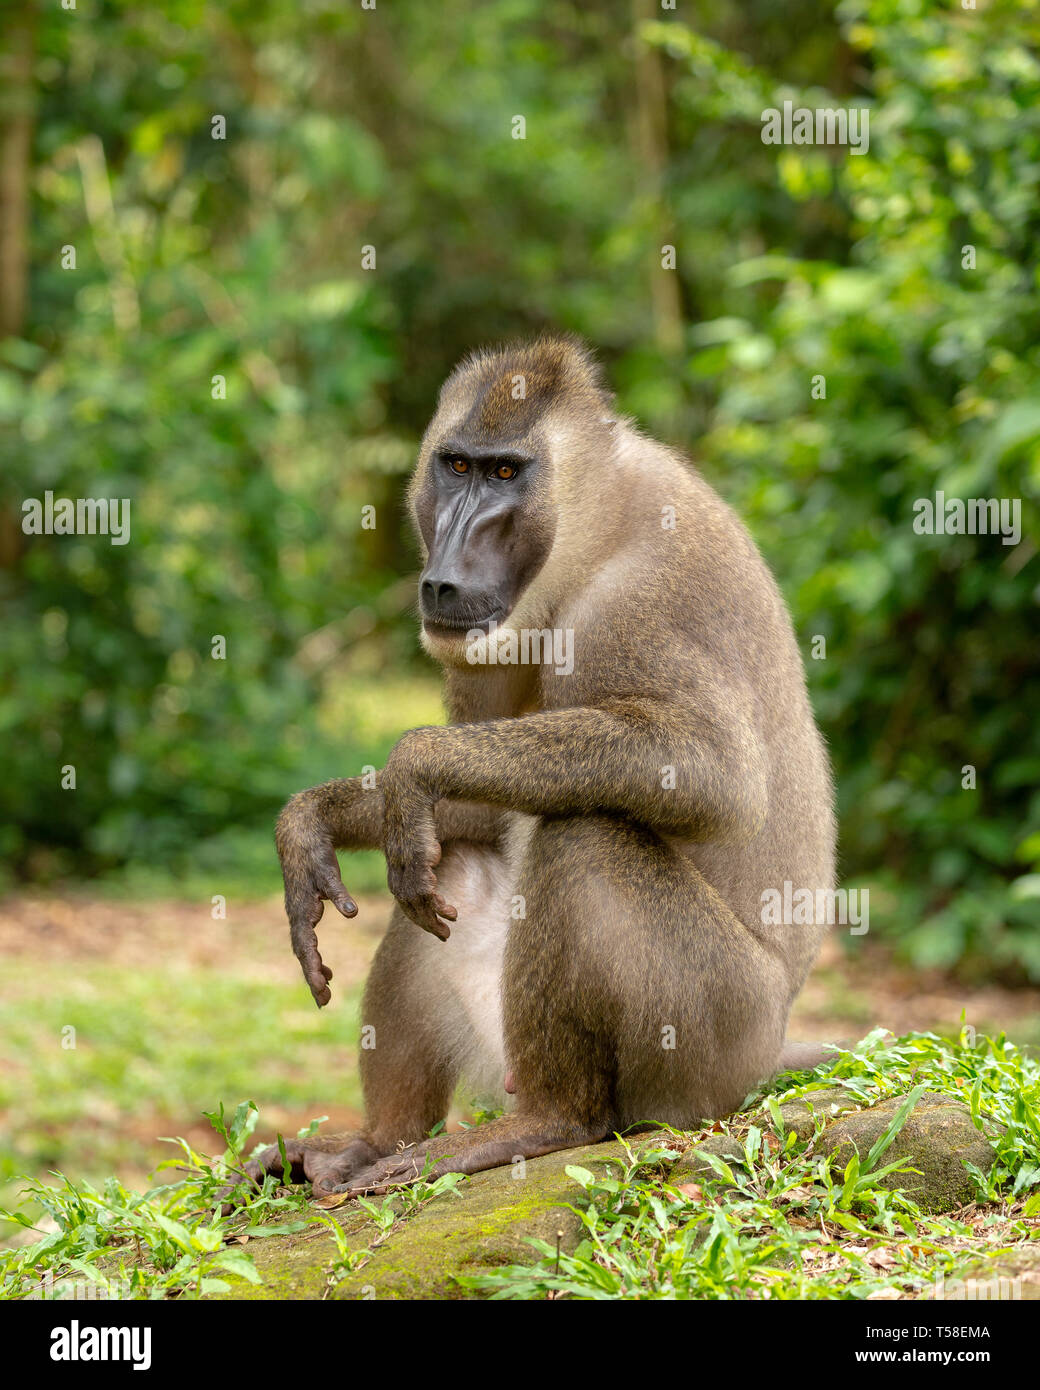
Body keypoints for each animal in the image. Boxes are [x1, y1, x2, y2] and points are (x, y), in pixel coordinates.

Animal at [240, 335, 837, 1200]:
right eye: (456, 466)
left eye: (505, 475)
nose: (444, 573)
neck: (596, 519)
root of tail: (767, 1052)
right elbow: (464, 811)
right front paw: (311, 821)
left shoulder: (640, 601)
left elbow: (713, 774)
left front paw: (415, 761)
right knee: (447, 865)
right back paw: (373, 1144)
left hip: (712, 1038)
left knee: (584, 835)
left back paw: (551, 1121)